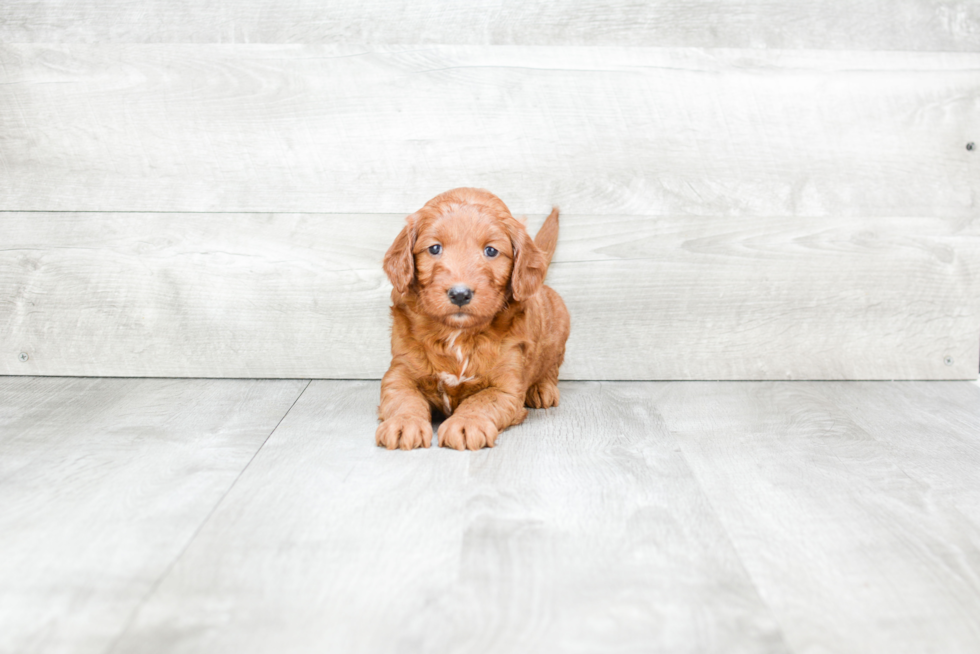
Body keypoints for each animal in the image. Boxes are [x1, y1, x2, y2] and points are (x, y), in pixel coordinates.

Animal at [378, 184, 572, 452]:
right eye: (434, 248)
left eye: (491, 250)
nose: (460, 294)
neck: (458, 334)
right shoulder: (400, 371)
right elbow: (403, 397)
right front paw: (404, 423)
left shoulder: (505, 387)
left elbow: (482, 400)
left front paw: (466, 423)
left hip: (560, 324)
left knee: (551, 366)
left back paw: (542, 389)